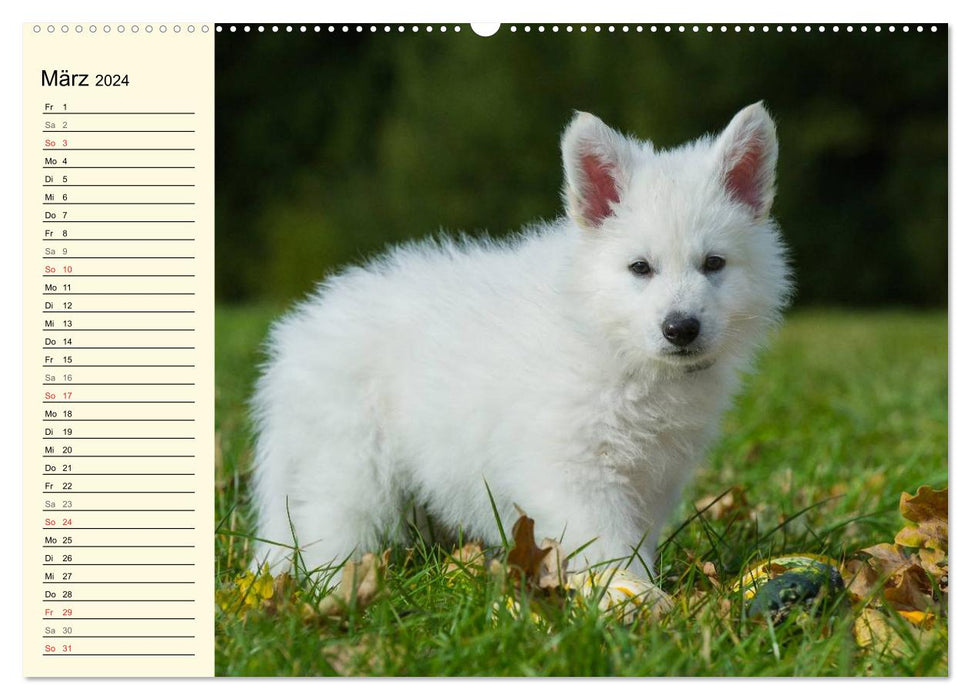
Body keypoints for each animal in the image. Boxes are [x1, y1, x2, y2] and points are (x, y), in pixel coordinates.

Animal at [249, 102, 788, 580]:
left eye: (714, 264)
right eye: (640, 268)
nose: (681, 328)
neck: (610, 340)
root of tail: (300, 331)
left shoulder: (653, 475)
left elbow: (636, 537)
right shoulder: (571, 464)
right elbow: (607, 543)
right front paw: (632, 596)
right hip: (352, 469)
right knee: (327, 533)